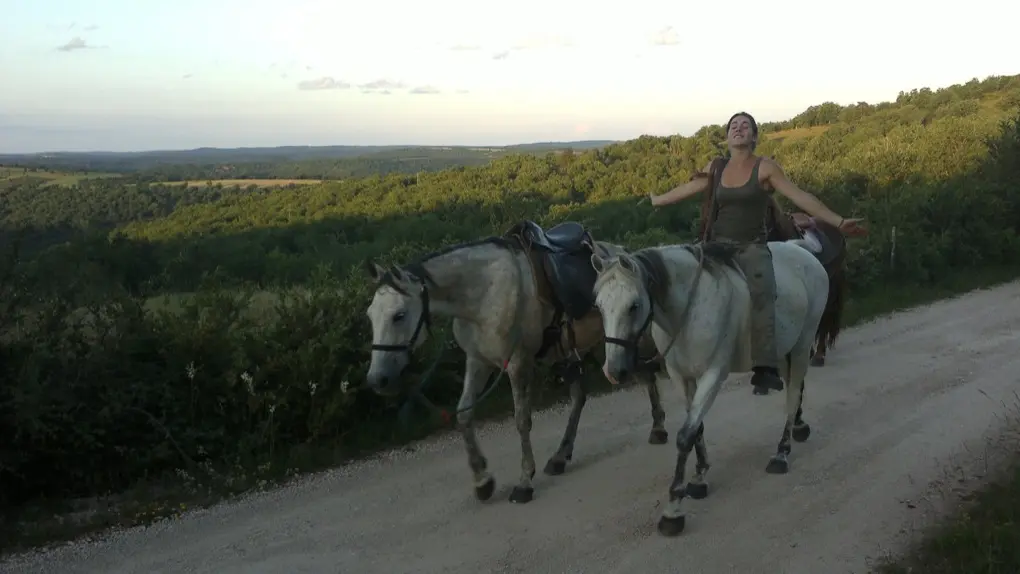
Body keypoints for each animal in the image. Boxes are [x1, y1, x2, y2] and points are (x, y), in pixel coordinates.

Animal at [363, 222, 665, 505]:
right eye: (370, 315)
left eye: (399, 315)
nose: (377, 379)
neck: (484, 294)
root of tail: (622, 253)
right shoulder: (478, 361)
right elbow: (463, 415)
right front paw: (482, 480)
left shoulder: (517, 363)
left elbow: (521, 420)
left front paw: (524, 482)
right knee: (579, 396)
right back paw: (560, 456)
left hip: (628, 339)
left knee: (649, 375)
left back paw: (658, 429)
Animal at [591, 240, 828, 538]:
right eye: (599, 307)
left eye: (633, 306)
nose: (614, 372)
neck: (688, 311)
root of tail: (800, 248)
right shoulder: (682, 378)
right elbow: (697, 428)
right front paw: (699, 476)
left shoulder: (713, 375)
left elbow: (685, 435)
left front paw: (673, 509)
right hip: (786, 350)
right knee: (795, 389)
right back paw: (799, 427)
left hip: (802, 344)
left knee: (793, 394)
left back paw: (781, 453)